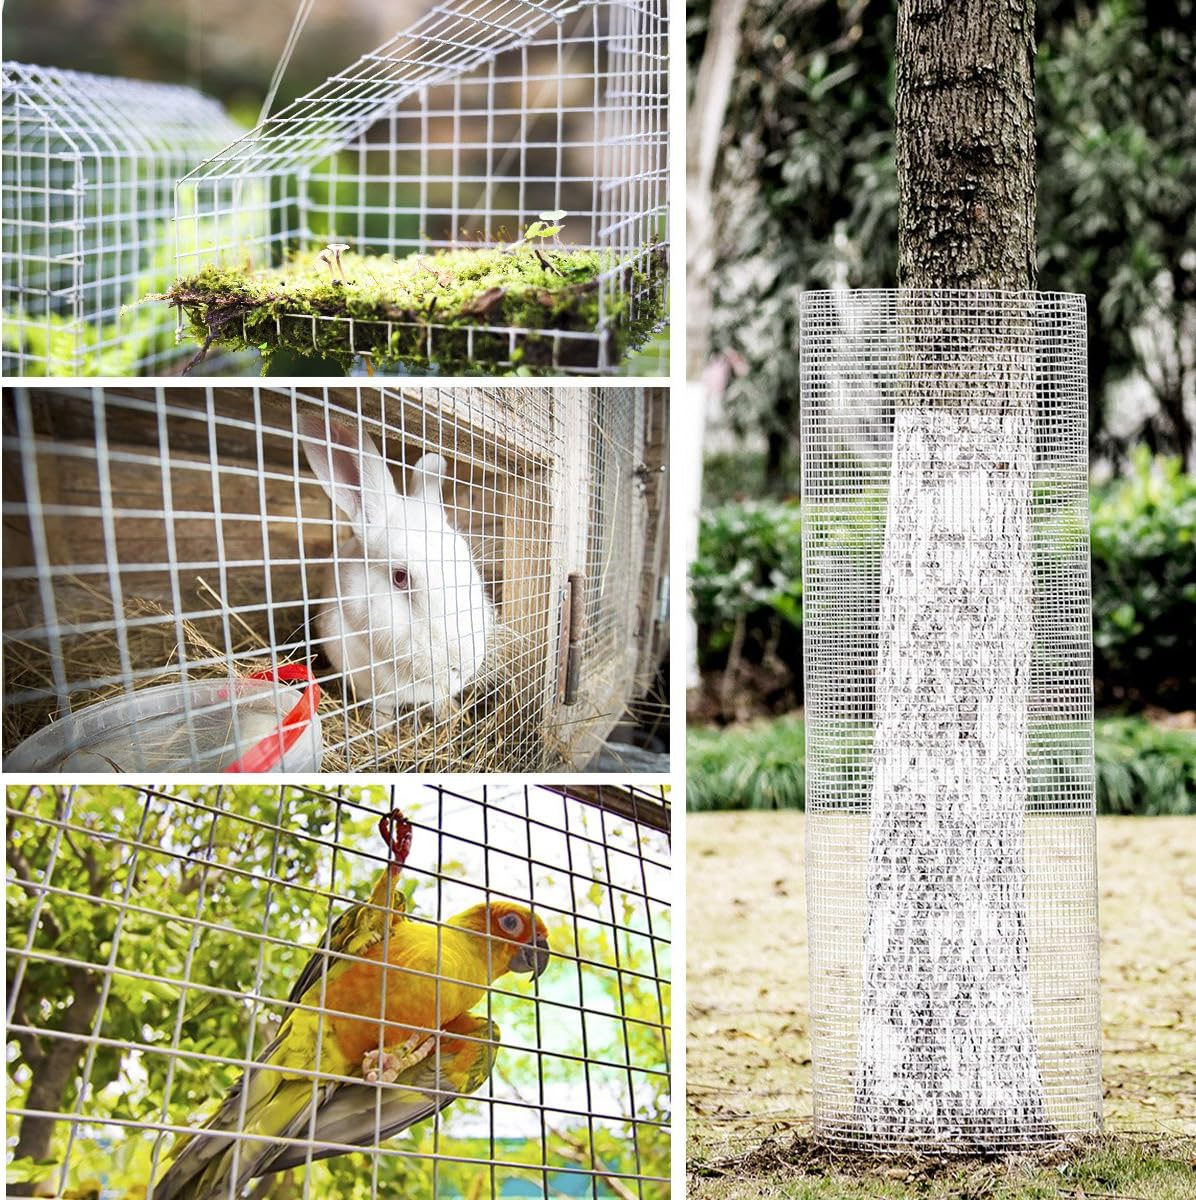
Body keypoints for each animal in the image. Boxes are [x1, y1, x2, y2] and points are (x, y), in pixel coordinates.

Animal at [298, 411, 495, 716]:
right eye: (400, 577)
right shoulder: (370, 688)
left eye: (467, 562)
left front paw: (449, 710)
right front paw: (381, 725)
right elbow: (383, 711)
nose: (463, 664)